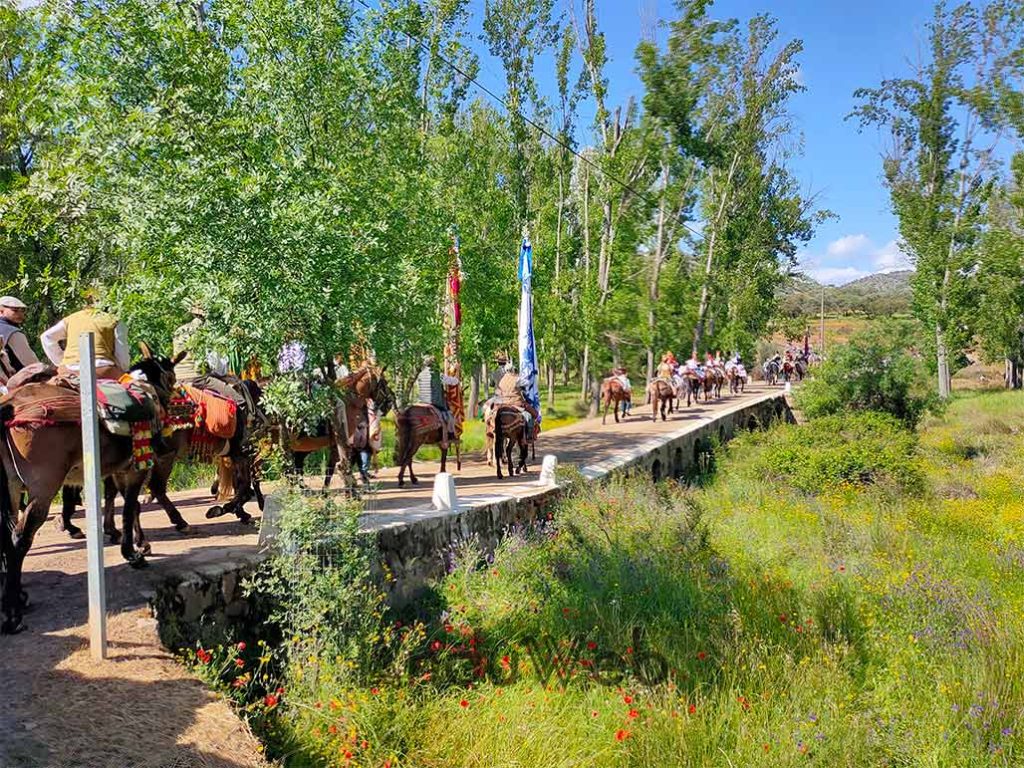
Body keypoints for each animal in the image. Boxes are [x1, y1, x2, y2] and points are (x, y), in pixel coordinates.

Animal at [0, 348, 180, 630]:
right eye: (171, 377)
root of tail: (12, 405)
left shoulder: (116, 470)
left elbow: (119, 502)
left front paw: (128, 541)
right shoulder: (135, 469)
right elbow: (130, 507)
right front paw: (134, 552)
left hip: (11, 487)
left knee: (7, 539)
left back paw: (17, 596)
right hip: (43, 487)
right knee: (20, 539)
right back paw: (12, 613)